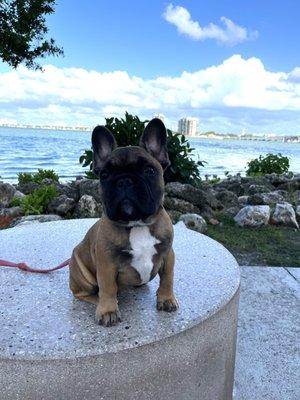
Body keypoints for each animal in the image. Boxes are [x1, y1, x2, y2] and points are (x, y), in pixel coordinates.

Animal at [69, 117, 178, 326]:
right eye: (105, 175)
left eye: (149, 170)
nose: (125, 181)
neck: (136, 224)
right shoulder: (106, 263)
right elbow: (108, 287)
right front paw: (108, 310)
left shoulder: (168, 254)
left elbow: (167, 278)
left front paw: (167, 299)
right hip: (83, 275)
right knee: (86, 293)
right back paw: (100, 301)